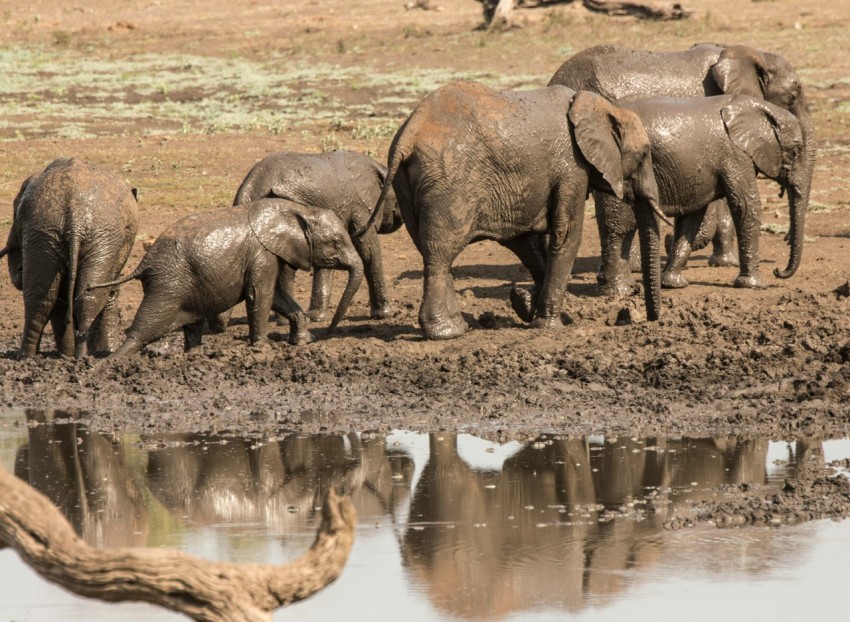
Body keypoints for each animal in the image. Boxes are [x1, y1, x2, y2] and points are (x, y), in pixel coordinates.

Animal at [0, 158, 139, 358]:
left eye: (14, 215)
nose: (18, 268)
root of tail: (76, 217)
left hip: (48, 233)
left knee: (41, 297)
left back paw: (31, 357)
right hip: (59, 233)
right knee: (76, 296)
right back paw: (74, 356)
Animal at [88, 198, 363, 356]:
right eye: (336, 242)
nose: (327, 333)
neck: (300, 211)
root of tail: (143, 264)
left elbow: (277, 297)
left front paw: (304, 342)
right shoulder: (262, 254)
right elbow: (260, 295)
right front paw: (261, 349)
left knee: (188, 323)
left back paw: (192, 356)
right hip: (168, 282)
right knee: (145, 328)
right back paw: (109, 364)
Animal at [233, 150, 402, 321]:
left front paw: (316, 316)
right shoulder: (360, 205)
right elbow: (368, 249)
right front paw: (385, 314)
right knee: (286, 268)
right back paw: (284, 320)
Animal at [365, 81, 663, 340]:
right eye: (643, 156)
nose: (651, 319)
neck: (600, 106)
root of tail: (409, 133)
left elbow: (524, 240)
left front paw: (524, 304)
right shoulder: (572, 168)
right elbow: (566, 234)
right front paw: (551, 325)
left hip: (407, 184)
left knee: (430, 251)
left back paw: (458, 326)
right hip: (448, 181)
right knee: (439, 252)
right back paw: (446, 333)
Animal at [594, 94, 806, 292]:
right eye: (796, 151)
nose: (778, 271)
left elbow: (692, 218)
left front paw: (672, 284)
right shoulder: (734, 154)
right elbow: (746, 205)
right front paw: (755, 285)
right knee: (621, 227)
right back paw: (618, 290)